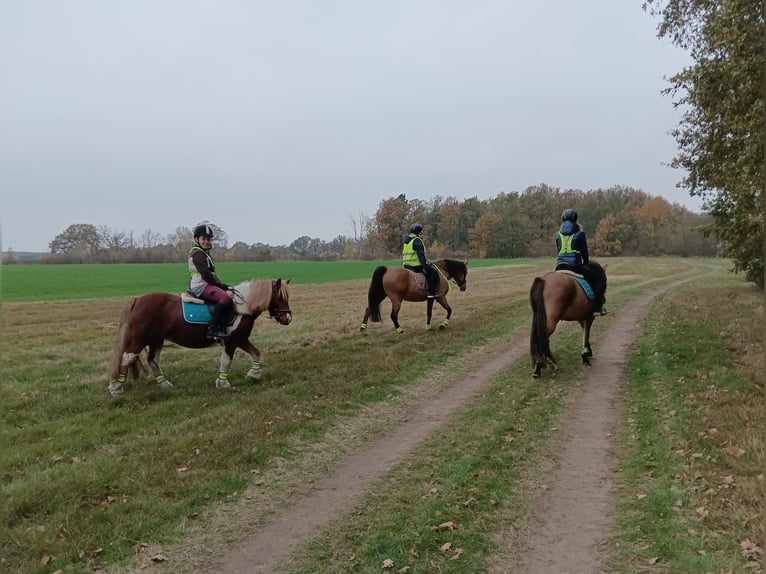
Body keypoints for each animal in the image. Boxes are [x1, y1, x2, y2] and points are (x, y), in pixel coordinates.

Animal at [105, 280, 292, 396]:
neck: (242, 308)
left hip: (156, 339)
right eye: (280, 297)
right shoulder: (232, 341)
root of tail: (137, 300)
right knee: (127, 357)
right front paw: (223, 383)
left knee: (153, 360)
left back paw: (165, 384)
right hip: (140, 339)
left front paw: (254, 374)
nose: (288, 318)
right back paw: (116, 387)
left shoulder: (241, 339)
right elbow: (227, 361)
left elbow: (256, 353)